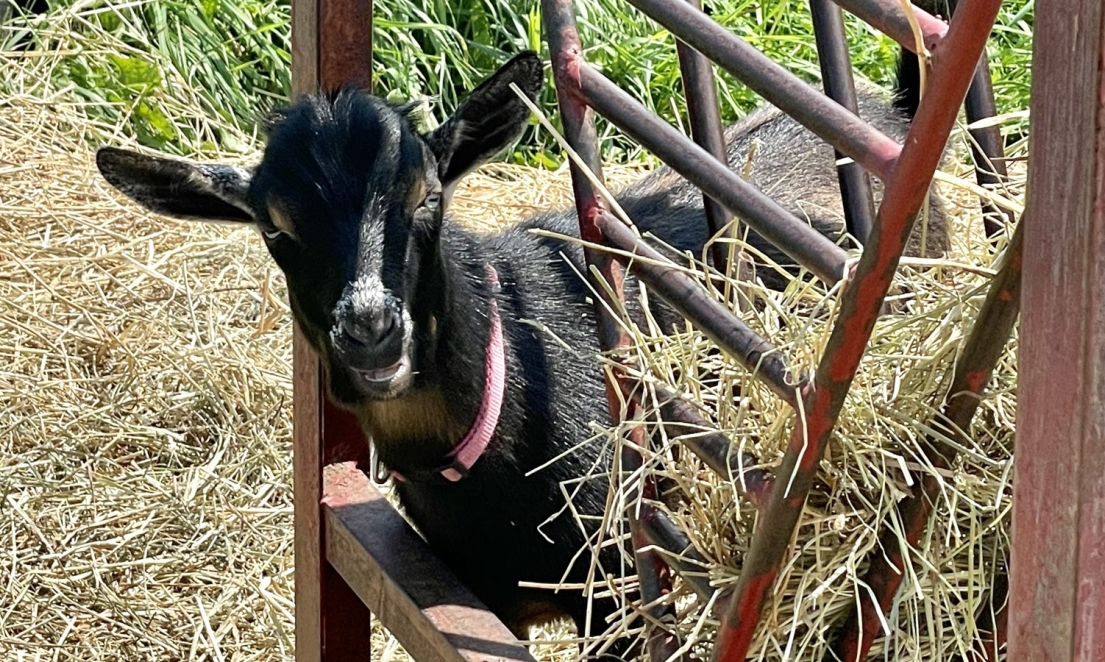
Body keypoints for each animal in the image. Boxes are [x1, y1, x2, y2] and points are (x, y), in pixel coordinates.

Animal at [95, 50, 945, 655]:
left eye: (428, 197)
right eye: (275, 228)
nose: (370, 329)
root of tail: (890, 108)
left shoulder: (617, 590)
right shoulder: (477, 590)